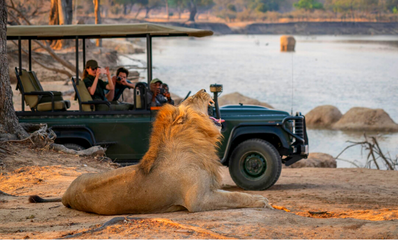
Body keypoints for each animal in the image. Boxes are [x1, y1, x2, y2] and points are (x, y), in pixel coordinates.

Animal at [28, 89, 274, 214]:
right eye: (193, 98)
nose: (205, 89)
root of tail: (65, 193)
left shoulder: (209, 189)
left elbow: (235, 194)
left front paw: (259, 197)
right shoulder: (198, 200)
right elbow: (234, 197)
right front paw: (262, 200)